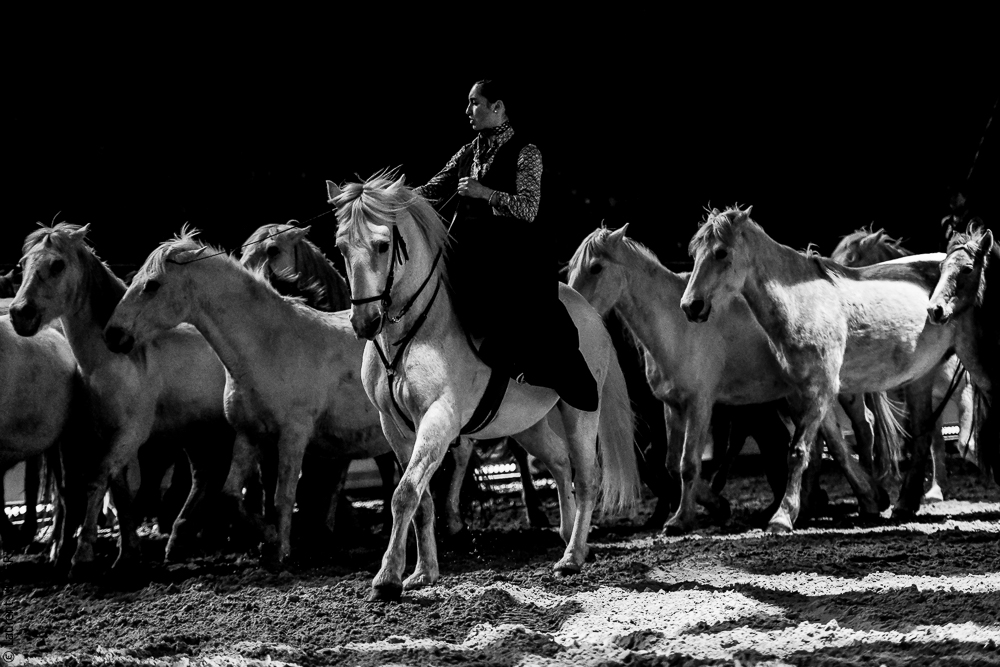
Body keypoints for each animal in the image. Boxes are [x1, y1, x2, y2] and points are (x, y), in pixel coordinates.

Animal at [9, 223, 234, 577]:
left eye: (57, 264)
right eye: (22, 264)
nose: (20, 315)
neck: (114, 360)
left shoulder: (130, 435)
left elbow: (97, 480)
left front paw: (82, 556)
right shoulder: (109, 435)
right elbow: (119, 490)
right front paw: (127, 554)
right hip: (197, 431)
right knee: (204, 476)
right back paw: (180, 539)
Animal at [104, 228, 395, 565]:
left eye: (152, 284)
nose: (112, 335)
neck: (268, 345)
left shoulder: (293, 437)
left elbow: (284, 497)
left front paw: (281, 551)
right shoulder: (249, 436)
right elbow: (231, 495)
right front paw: (267, 539)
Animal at [331, 173, 640, 600]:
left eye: (382, 245)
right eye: (341, 246)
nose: (364, 322)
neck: (410, 332)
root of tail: (588, 311)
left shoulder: (439, 419)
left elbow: (405, 492)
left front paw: (387, 578)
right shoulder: (394, 427)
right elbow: (421, 498)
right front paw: (422, 573)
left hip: (579, 410)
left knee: (587, 476)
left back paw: (573, 557)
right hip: (528, 425)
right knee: (560, 463)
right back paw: (566, 536)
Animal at [567, 225, 894, 533]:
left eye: (595, 267)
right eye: (570, 270)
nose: (572, 315)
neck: (676, 326)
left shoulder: (700, 404)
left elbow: (688, 463)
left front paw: (682, 519)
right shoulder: (672, 406)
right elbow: (671, 462)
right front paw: (716, 505)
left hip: (838, 392)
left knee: (863, 428)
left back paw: (869, 495)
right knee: (830, 443)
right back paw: (854, 498)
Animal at [680, 206, 957, 532]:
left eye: (721, 252)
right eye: (694, 253)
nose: (690, 306)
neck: (802, 302)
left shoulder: (822, 388)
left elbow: (799, 451)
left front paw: (783, 516)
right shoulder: (801, 393)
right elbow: (829, 448)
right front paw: (868, 499)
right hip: (920, 378)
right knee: (922, 433)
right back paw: (904, 503)